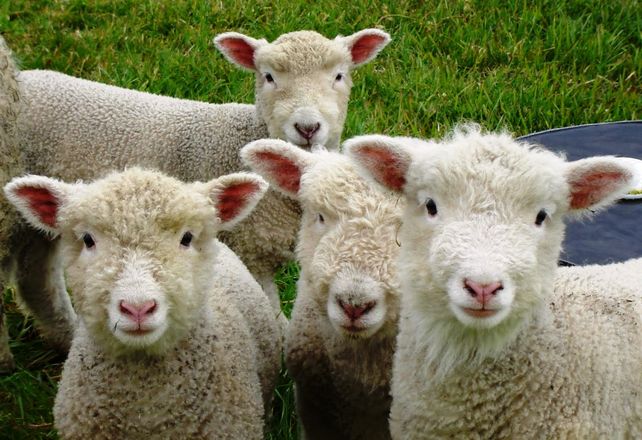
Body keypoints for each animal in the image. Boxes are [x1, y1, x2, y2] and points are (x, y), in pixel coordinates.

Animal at [7, 28, 390, 358]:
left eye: (339, 75)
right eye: (268, 76)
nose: (308, 127)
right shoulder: (248, 254)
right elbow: (268, 315)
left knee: (34, 276)